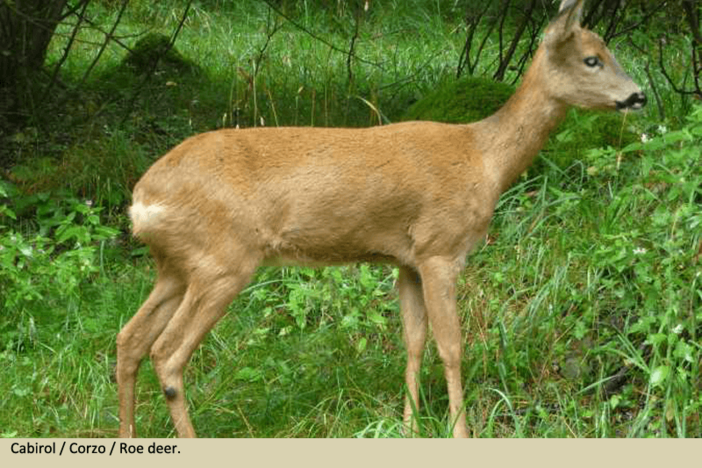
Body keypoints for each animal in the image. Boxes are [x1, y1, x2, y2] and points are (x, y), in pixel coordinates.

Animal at [117, 0, 646, 438]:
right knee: (167, 353)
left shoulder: (405, 260)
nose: (638, 96)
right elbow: (452, 346)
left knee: (129, 339)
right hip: (224, 260)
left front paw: (409, 427)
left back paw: (128, 436)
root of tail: (141, 200)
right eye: (592, 59)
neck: (484, 160)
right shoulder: (440, 248)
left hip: (176, 266)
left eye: (607, 51)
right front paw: (459, 433)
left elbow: (413, 341)